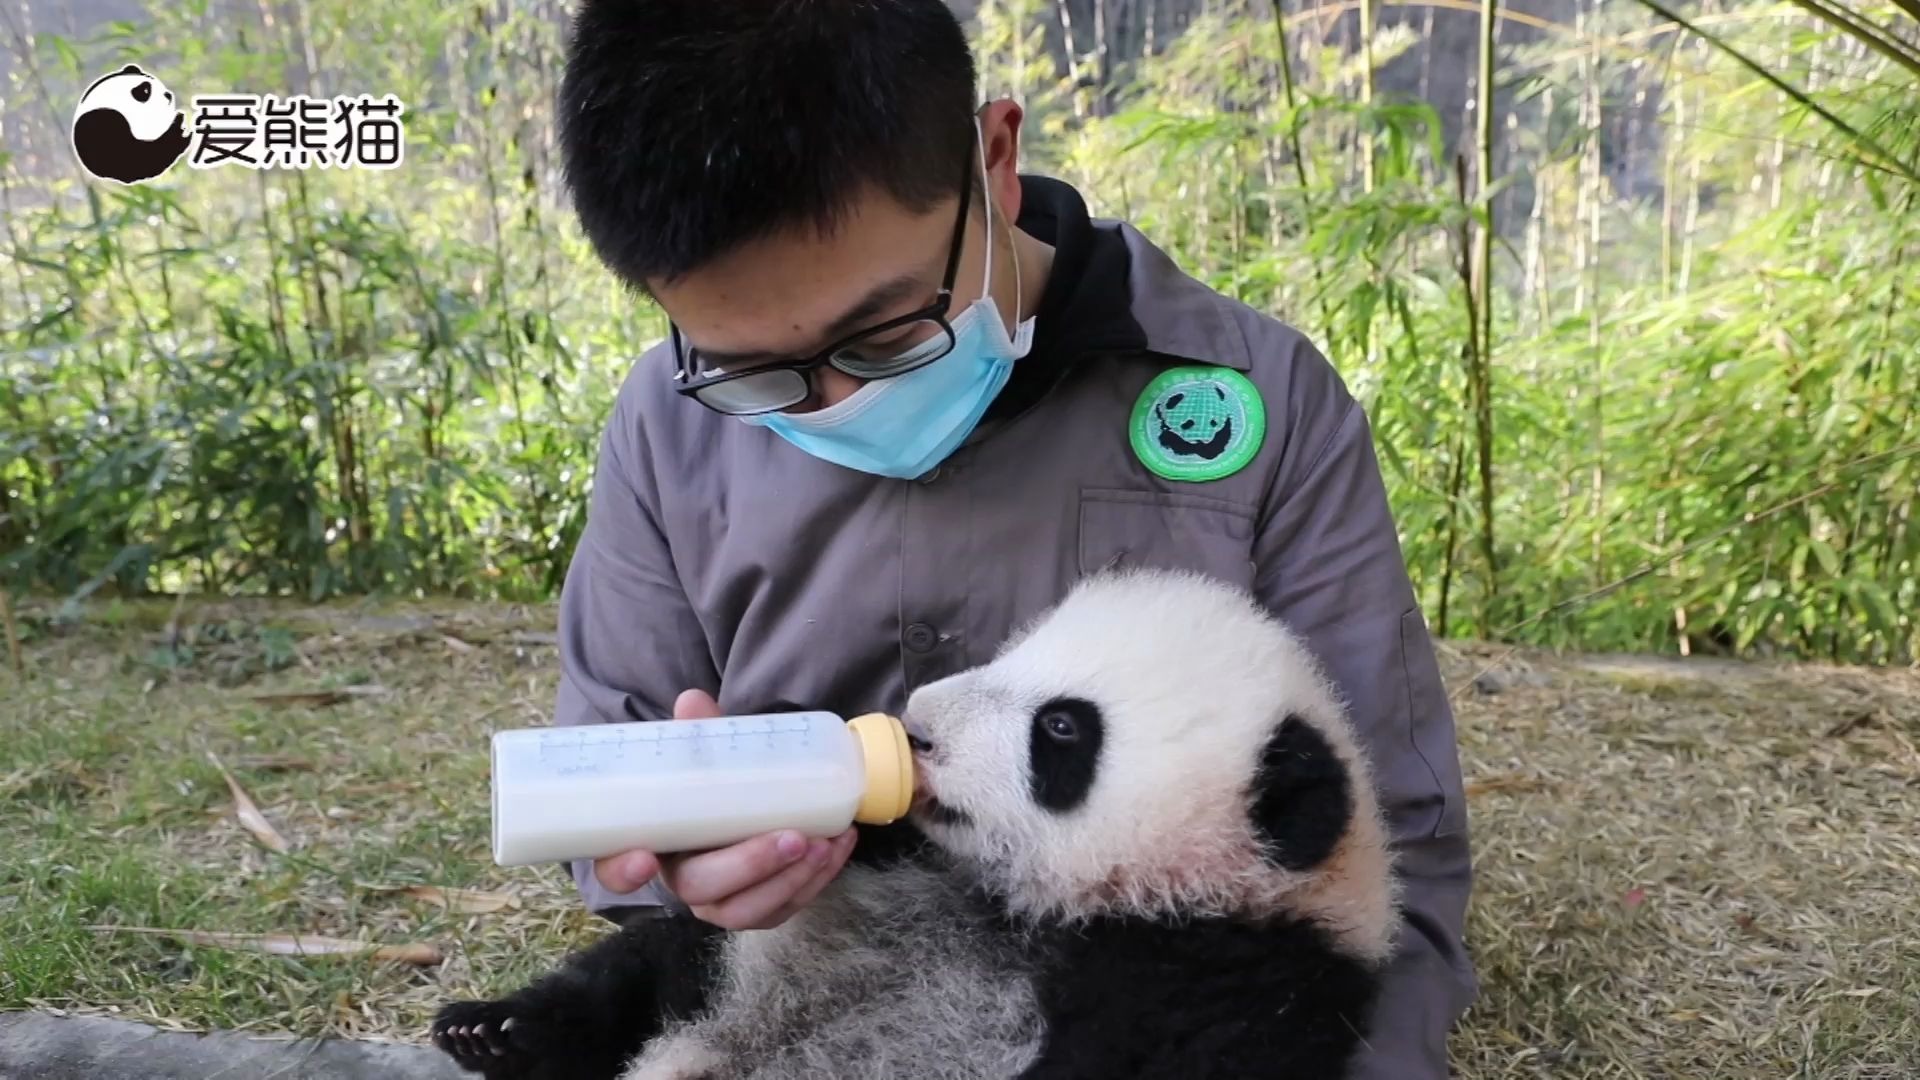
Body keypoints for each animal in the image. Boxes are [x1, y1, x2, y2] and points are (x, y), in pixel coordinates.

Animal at [432, 568, 1397, 1068]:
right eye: (1015, 647)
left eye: (1062, 729)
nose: (917, 728)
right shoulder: (906, 849)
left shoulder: (1223, 983)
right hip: (724, 970)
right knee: (655, 968)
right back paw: (497, 1031)